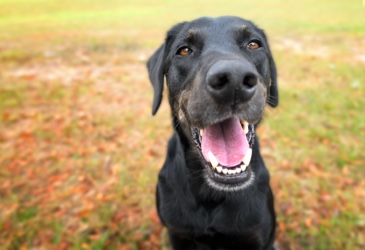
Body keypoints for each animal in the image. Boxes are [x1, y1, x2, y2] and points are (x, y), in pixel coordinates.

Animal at [146, 16, 278, 250]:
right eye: (184, 50)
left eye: (254, 44)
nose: (234, 79)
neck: (212, 195)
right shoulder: (178, 233)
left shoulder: (258, 237)